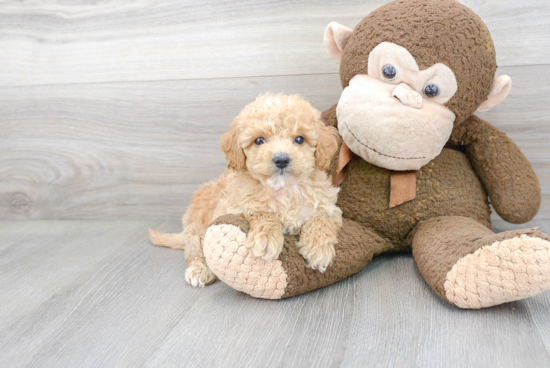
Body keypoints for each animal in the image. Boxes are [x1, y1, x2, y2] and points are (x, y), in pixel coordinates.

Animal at [149, 94, 342, 288]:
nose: (281, 159)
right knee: (195, 249)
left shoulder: (329, 208)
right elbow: (262, 212)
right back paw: (199, 270)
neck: (283, 189)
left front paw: (318, 249)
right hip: (197, 223)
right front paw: (266, 238)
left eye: (300, 139)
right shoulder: (235, 207)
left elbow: (322, 220)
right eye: (259, 140)